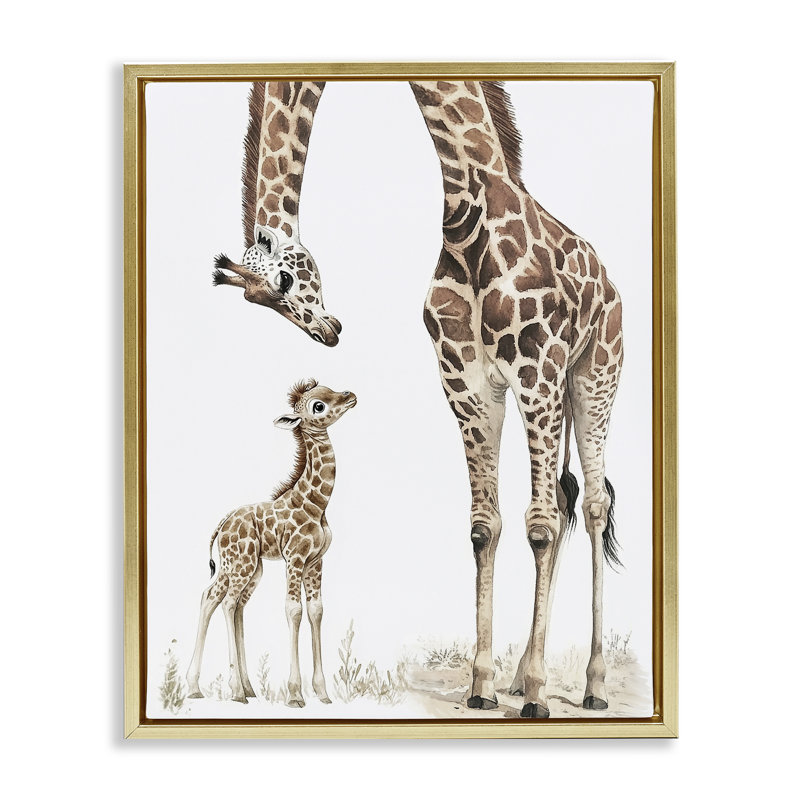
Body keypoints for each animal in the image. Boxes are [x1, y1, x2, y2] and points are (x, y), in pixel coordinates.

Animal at [186, 379, 357, 706]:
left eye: (329, 388)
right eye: (318, 405)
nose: (350, 396)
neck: (317, 505)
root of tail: (221, 524)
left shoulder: (316, 561)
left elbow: (316, 610)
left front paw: (322, 693)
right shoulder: (295, 558)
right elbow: (294, 610)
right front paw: (295, 694)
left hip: (247, 567)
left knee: (218, 599)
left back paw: (215, 687)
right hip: (241, 564)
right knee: (226, 602)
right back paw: (235, 691)